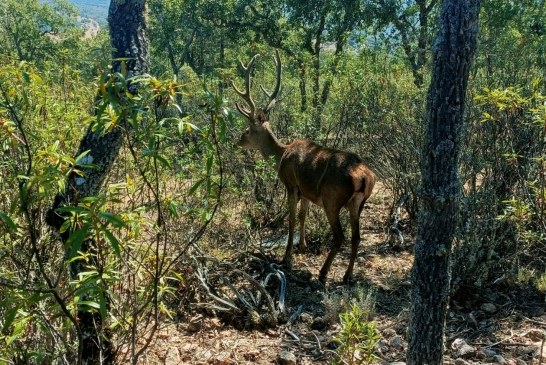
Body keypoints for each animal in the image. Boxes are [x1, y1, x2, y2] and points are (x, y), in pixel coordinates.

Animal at [230, 49, 374, 284]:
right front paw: (303, 247)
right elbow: (302, 216)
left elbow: (290, 219)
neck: (281, 155)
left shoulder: (291, 184)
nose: (238, 141)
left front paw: (286, 257)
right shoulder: (307, 191)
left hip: (332, 198)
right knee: (356, 236)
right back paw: (347, 275)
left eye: (249, 130)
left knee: (340, 236)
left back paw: (323, 274)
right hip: (358, 202)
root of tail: (364, 177)